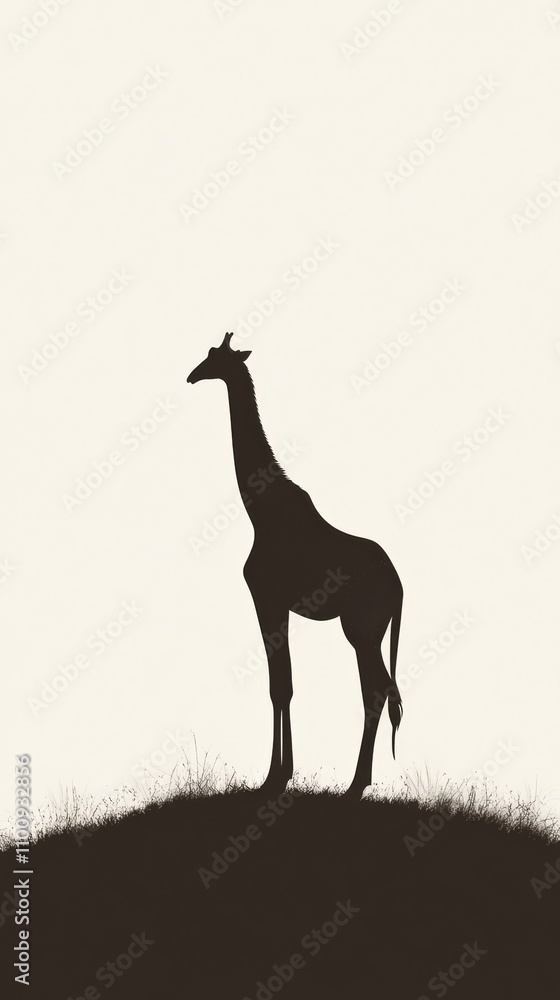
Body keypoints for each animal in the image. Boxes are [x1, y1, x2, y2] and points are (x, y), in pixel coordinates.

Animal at [187, 333, 404, 799]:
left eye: (214, 358)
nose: (192, 375)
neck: (260, 510)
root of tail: (399, 587)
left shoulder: (266, 598)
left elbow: (278, 687)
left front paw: (273, 778)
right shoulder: (279, 604)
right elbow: (284, 684)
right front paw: (283, 774)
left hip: (361, 628)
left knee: (375, 690)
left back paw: (355, 786)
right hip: (370, 630)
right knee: (379, 689)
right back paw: (358, 782)